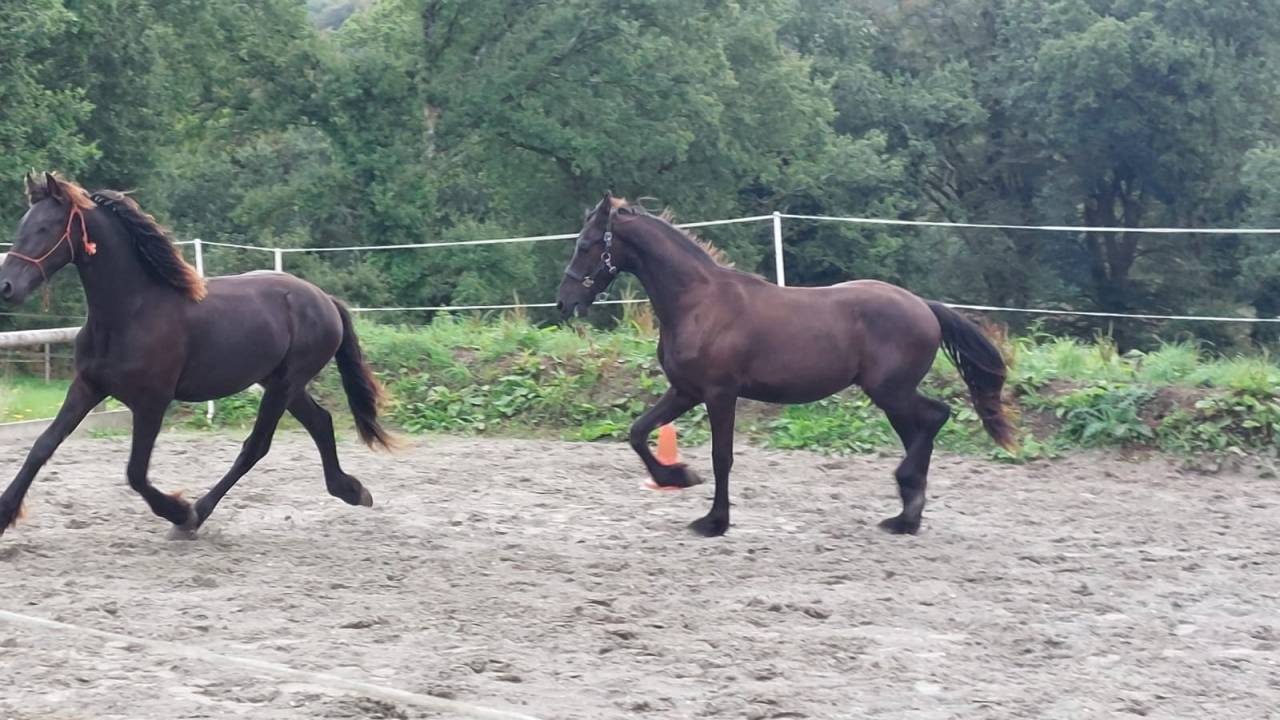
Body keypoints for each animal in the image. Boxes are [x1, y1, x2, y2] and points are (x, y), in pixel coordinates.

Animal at [0, 172, 394, 540]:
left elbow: (136, 473)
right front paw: (5, 515)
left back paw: (196, 515)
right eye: (23, 226)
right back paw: (352, 490)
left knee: (256, 446)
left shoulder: (152, 402)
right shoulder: (87, 387)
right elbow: (42, 446)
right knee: (321, 422)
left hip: (285, 384)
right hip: (283, 383)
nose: (6, 286)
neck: (131, 312)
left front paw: (179, 511)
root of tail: (325, 299)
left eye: (45, 227)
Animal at [556, 193, 1016, 537]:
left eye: (586, 245)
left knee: (936, 417)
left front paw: (714, 521)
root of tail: (924, 306)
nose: (564, 301)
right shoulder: (685, 391)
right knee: (922, 430)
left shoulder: (720, 394)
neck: (697, 303)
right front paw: (679, 476)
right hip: (892, 396)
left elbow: (721, 456)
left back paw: (906, 501)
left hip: (891, 391)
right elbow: (637, 433)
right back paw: (906, 515)